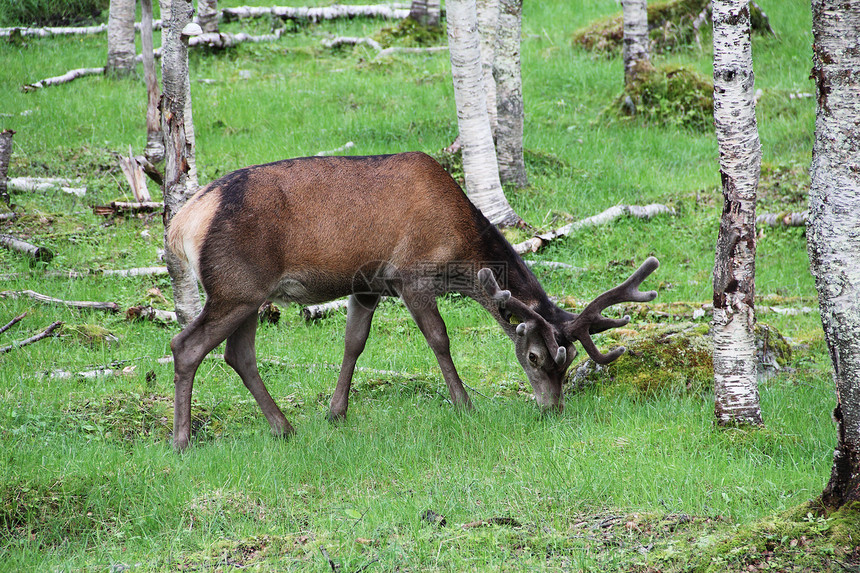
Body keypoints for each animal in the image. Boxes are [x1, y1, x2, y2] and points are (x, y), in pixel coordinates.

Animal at [165, 152, 660, 452]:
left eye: (570, 357)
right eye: (535, 356)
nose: (552, 408)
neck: (460, 252)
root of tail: (182, 223)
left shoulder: (366, 284)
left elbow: (354, 344)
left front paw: (336, 413)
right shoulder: (412, 275)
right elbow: (439, 340)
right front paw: (465, 405)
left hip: (250, 295)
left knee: (238, 354)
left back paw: (283, 427)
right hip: (235, 286)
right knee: (185, 346)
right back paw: (182, 440)